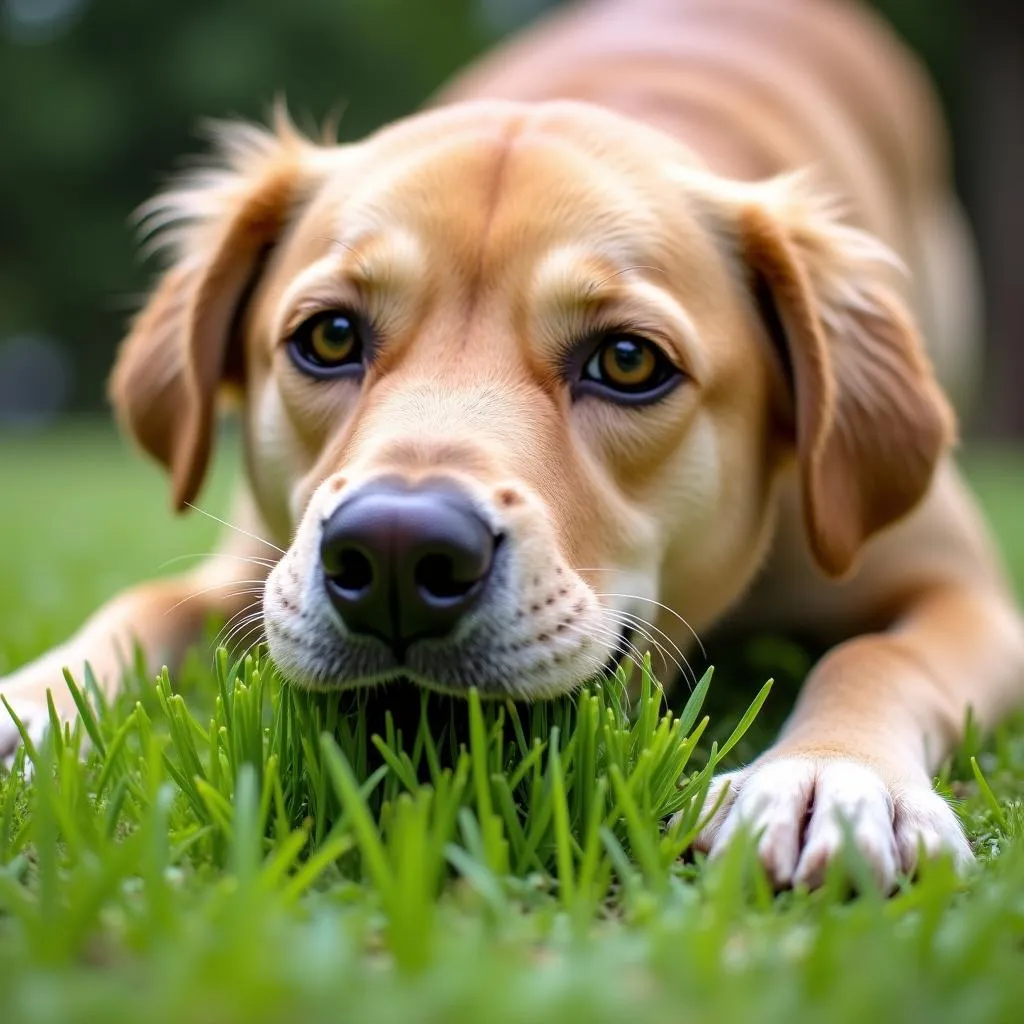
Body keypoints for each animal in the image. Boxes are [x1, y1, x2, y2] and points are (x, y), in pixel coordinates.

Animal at [2, 0, 1024, 888]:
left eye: (627, 360)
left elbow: (879, 656)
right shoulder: (256, 564)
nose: (396, 554)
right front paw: (31, 707)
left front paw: (834, 775)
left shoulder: (969, 596)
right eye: (328, 338)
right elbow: (144, 604)